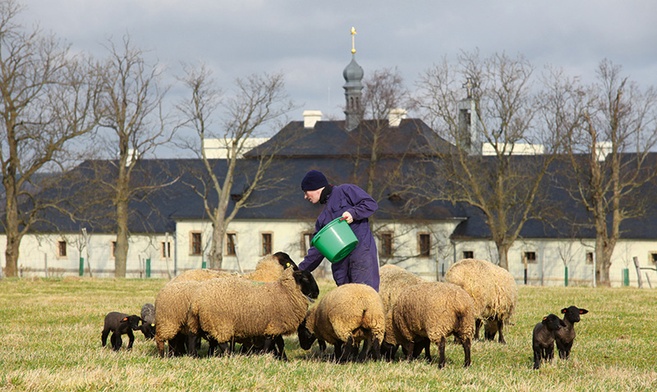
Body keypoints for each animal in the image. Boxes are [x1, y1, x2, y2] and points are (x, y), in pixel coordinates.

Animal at [186, 268, 320, 360]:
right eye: (306, 278)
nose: (317, 293)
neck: (285, 292)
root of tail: (197, 302)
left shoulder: (275, 325)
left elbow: (280, 343)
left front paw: (283, 359)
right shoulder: (275, 325)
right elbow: (271, 342)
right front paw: (265, 355)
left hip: (196, 321)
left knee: (193, 337)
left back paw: (193, 356)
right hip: (219, 322)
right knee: (222, 342)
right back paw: (230, 356)